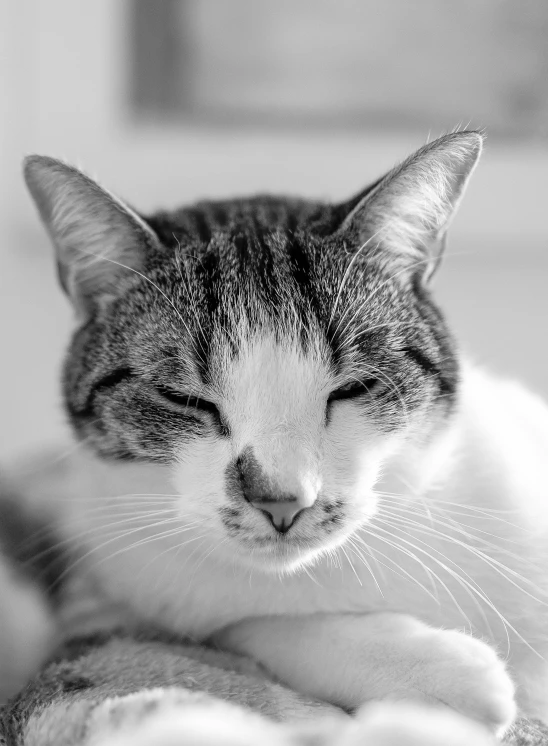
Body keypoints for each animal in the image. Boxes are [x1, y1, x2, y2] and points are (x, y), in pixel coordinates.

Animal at [4, 131, 548, 740]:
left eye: (354, 387)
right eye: (184, 399)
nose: (282, 499)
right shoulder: (137, 594)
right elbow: (264, 624)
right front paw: (443, 672)